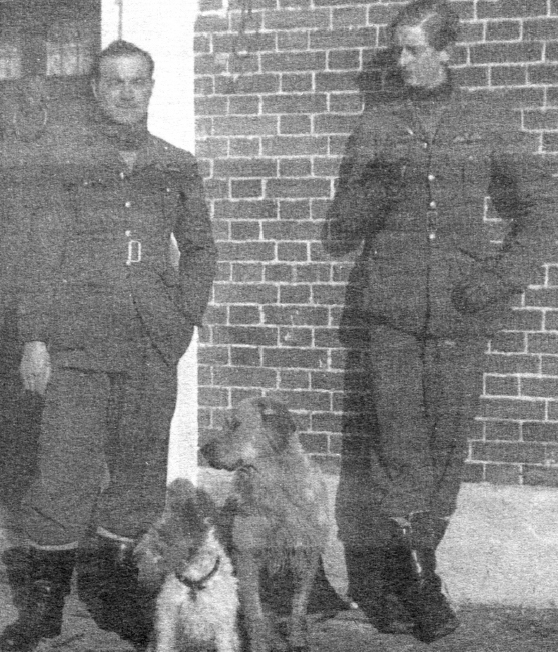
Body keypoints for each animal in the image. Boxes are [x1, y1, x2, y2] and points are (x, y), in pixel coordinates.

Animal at [137, 478, 241, 652]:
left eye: (165, 535)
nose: (136, 556)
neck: (195, 582)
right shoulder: (167, 621)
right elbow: (164, 644)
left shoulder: (222, 626)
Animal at [202, 394, 330, 652]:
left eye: (235, 425)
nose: (202, 450)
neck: (276, 485)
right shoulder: (247, 557)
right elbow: (255, 614)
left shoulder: (307, 557)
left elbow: (299, 607)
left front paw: (297, 641)